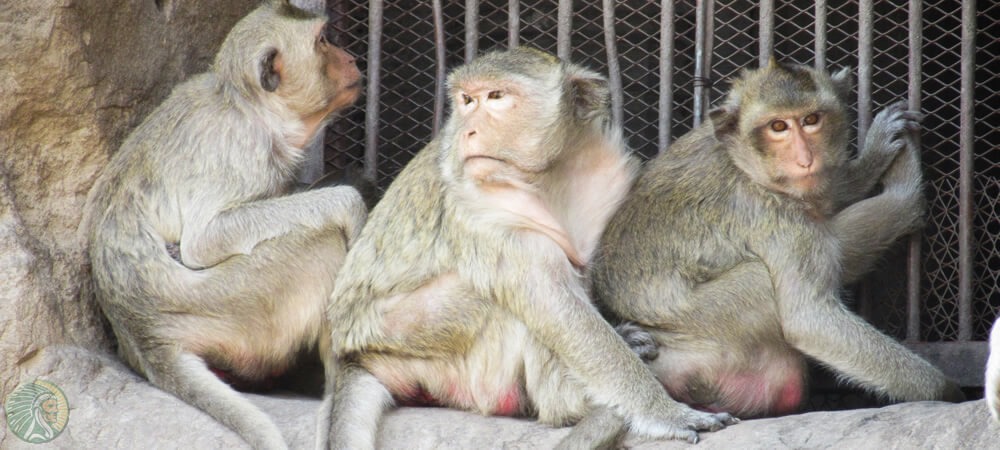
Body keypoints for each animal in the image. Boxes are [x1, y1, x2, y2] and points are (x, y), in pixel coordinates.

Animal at [80, 1, 366, 448]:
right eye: (323, 42)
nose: (351, 59)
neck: (248, 104)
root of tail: (144, 334)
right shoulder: (244, 147)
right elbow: (203, 240)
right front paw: (352, 203)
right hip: (234, 303)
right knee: (322, 244)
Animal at [316, 47, 740, 448]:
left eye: (496, 97)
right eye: (466, 100)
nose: (467, 131)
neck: (549, 174)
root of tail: (354, 356)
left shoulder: (610, 174)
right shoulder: (483, 206)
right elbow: (554, 305)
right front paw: (664, 412)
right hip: (407, 338)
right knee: (503, 301)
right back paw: (570, 405)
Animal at [588, 59, 964, 418]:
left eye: (811, 120)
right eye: (778, 127)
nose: (805, 159)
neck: (742, 162)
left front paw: (873, 157)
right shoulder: (776, 216)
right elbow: (810, 320)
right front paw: (946, 391)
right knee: (762, 277)